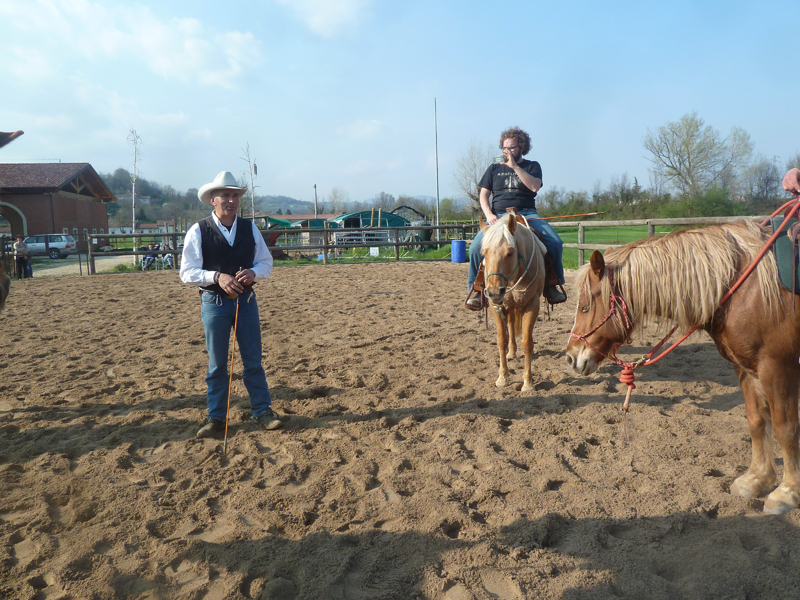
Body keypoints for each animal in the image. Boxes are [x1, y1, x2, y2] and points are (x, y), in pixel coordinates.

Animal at [480, 212, 547, 392]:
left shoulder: (533, 305)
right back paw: (511, 352)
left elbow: (527, 343)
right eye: (484, 253)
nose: (494, 292)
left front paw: (528, 382)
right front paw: (502, 377)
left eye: (510, 253)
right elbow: (502, 339)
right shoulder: (495, 305)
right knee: (510, 325)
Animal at [565, 219, 800, 514]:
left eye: (585, 307)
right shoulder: (745, 368)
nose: (570, 357)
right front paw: (757, 480)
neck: (742, 288)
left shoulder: (777, 367)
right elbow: (756, 421)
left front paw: (787, 492)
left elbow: (786, 428)